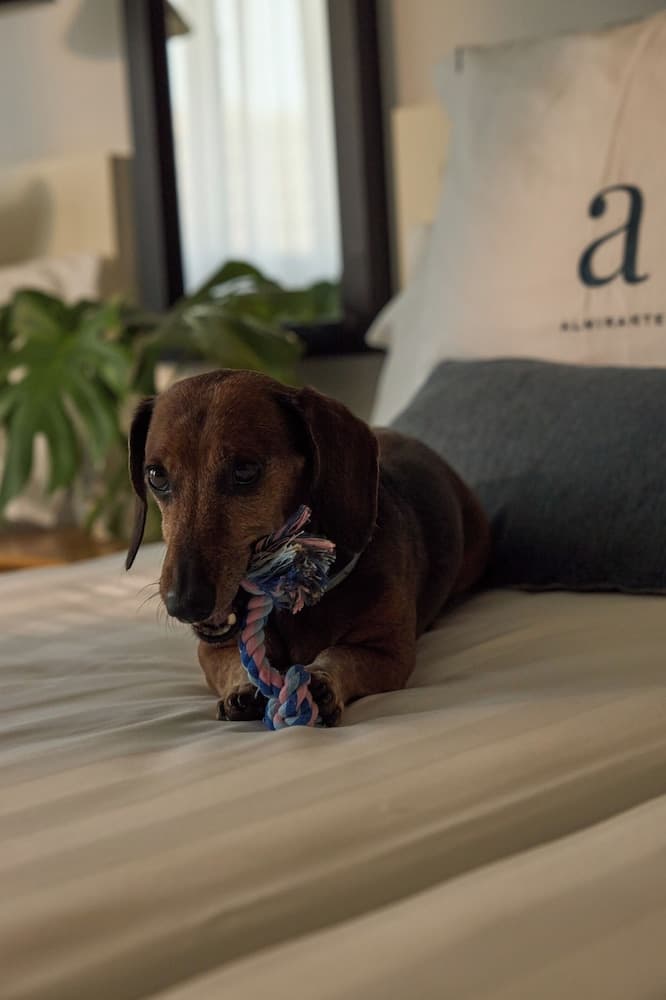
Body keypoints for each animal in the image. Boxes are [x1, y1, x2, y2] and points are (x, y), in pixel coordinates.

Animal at [126, 370, 490, 726]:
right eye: (156, 475)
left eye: (245, 470)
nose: (184, 604)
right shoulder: (213, 649)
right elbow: (233, 661)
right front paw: (244, 687)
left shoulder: (389, 654)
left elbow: (342, 654)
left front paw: (322, 680)